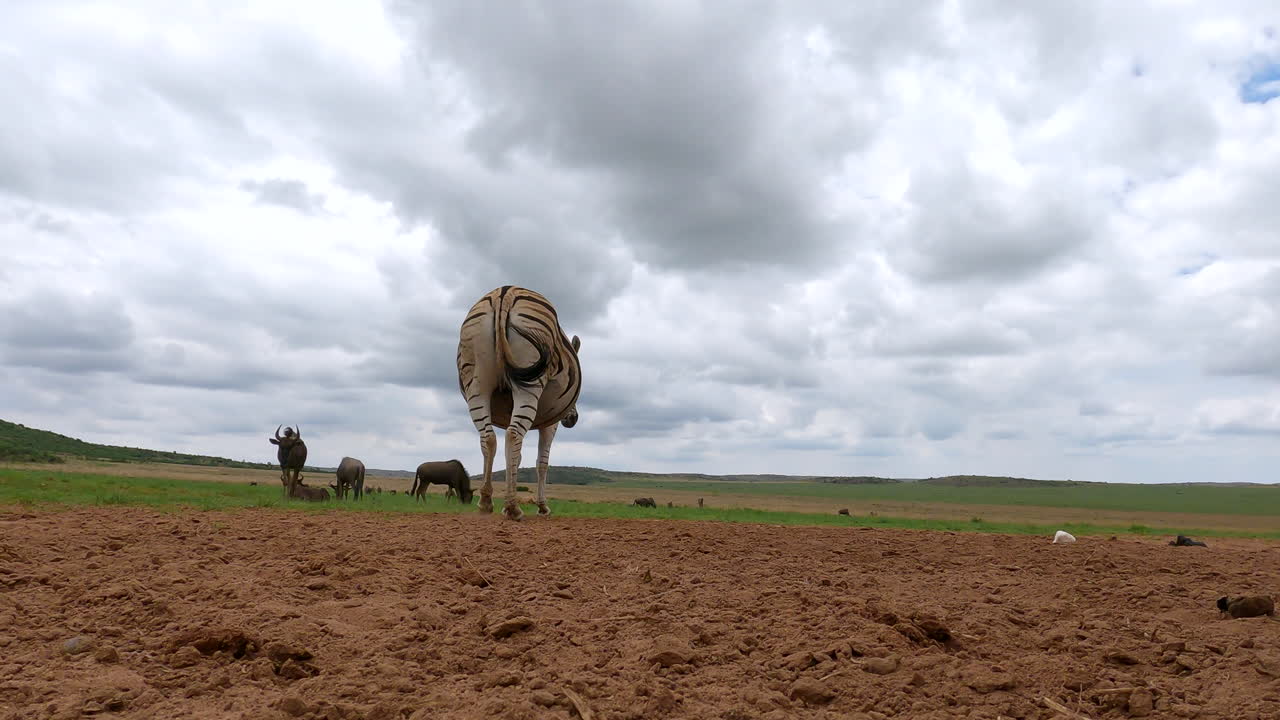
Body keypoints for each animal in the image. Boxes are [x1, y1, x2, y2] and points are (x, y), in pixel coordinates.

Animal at [456, 286, 581, 520]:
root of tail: (504, 293)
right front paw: (542, 506)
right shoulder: (550, 425)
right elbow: (542, 463)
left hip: (477, 384)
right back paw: (514, 509)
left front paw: (504, 503)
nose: (572, 419)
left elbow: (516, 457)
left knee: (488, 439)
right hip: (529, 384)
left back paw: (486, 501)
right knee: (513, 434)